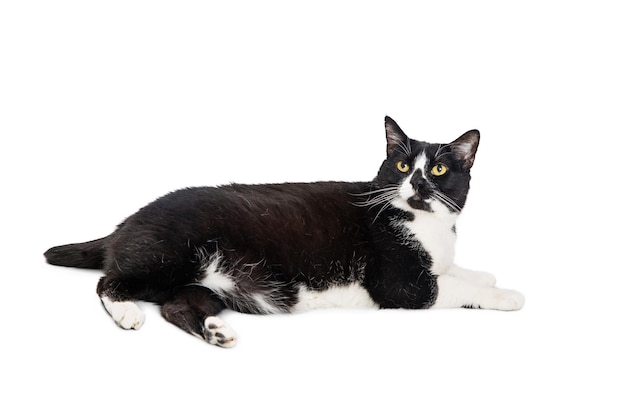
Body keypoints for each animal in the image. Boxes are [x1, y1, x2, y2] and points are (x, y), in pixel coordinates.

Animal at [44, 117, 520, 348]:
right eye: (403, 165)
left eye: (438, 170)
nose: (418, 184)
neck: (427, 225)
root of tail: (124, 224)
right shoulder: (400, 286)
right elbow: (447, 284)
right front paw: (507, 294)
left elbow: (456, 270)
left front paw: (484, 274)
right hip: (169, 254)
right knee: (110, 281)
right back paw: (128, 312)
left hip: (207, 282)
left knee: (177, 306)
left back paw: (215, 332)